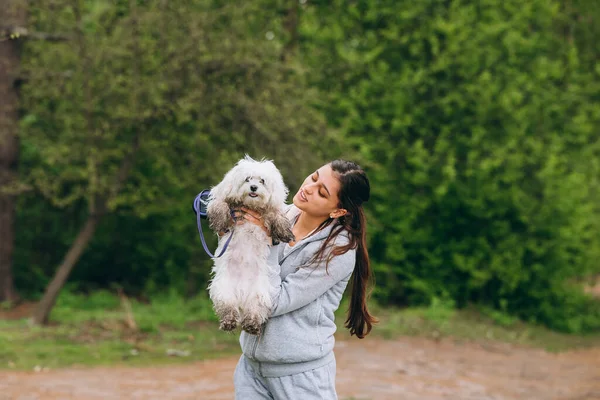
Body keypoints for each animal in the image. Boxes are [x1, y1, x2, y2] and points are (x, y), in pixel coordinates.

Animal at [206, 156, 296, 334]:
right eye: (247, 179)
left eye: (262, 181)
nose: (253, 187)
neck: (250, 205)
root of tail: (242, 292)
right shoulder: (223, 196)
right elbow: (220, 204)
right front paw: (220, 220)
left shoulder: (270, 210)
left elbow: (276, 213)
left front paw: (283, 231)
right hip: (224, 288)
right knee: (228, 306)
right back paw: (229, 322)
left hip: (259, 293)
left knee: (255, 309)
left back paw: (252, 324)